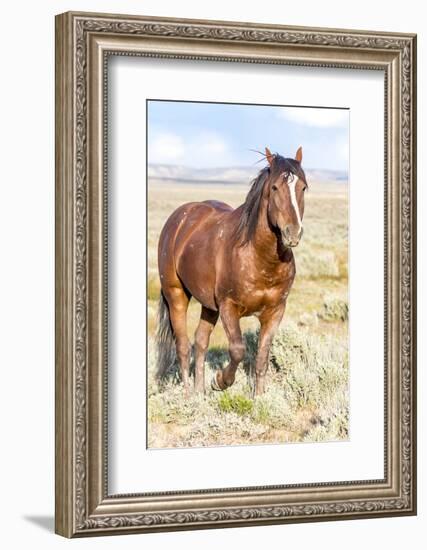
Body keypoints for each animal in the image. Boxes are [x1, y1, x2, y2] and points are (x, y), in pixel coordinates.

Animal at [156, 147, 308, 396]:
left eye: (303, 187)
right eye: (275, 187)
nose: (292, 233)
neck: (260, 259)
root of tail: (180, 218)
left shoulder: (275, 311)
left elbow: (262, 358)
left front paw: (259, 398)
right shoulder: (229, 307)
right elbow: (237, 349)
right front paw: (220, 380)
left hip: (209, 306)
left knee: (200, 341)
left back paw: (199, 392)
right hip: (176, 295)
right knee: (183, 345)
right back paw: (188, 395)